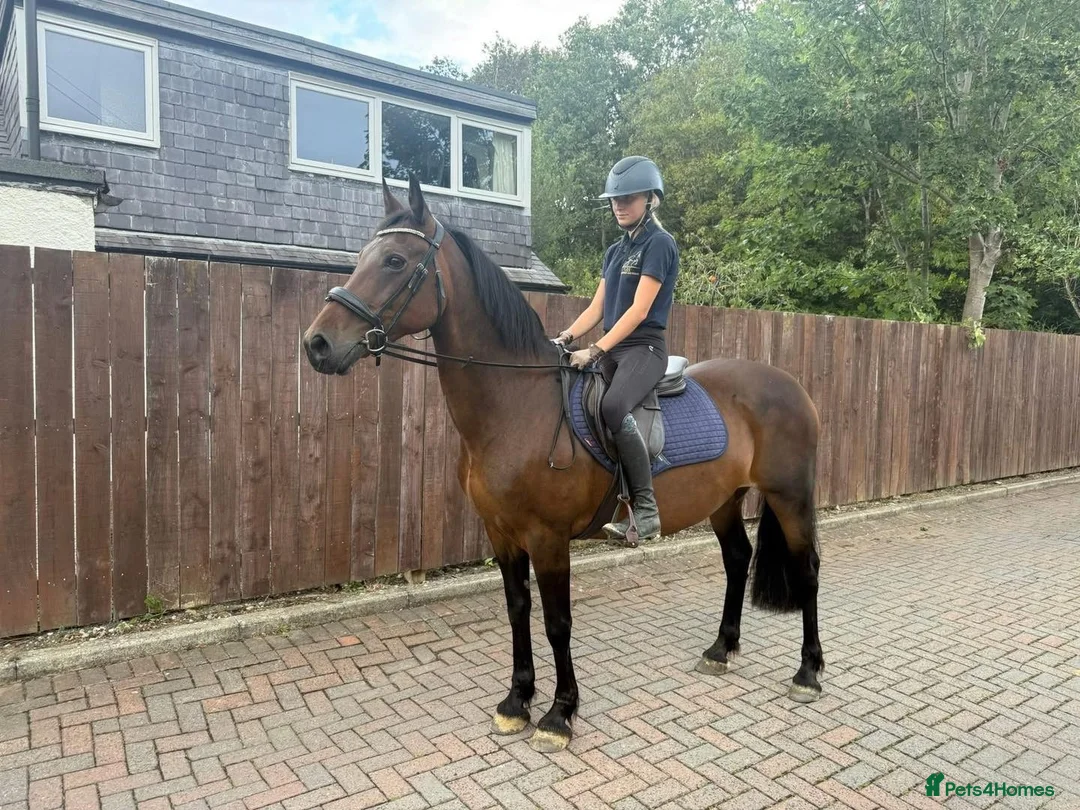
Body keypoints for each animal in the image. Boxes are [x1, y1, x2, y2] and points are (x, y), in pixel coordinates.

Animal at [303, 177, 824, 753]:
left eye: (395, 260)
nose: (317, 344)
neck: (517, 406)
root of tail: (789, 383)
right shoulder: (502, 532)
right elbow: (517, 610)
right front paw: (516, 702)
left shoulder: (548, 538)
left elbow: (557, 622)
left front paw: (559, 714)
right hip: (725, 500)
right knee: (737, 558)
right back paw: (721, 649)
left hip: (790, 496)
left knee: (808, 569)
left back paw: (808, 672)